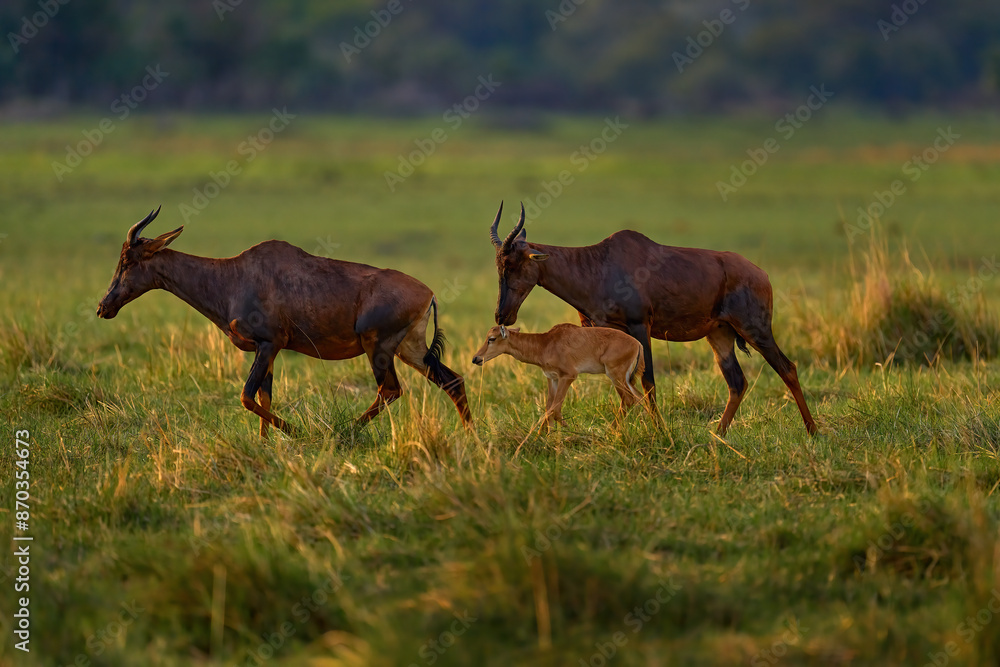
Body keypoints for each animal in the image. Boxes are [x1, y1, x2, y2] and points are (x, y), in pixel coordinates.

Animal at [97, 206, 473, 435]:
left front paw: (299, 433)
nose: (103, 307)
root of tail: (429, 294)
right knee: (452, 381)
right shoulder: (268, 351)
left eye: (128, 260)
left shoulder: (269, 344)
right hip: (410, 348)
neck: (234, 276)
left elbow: (246, 397)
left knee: (390, 389)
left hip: (377, 347)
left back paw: (342, 433)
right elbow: (264, 398)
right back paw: (471, 437)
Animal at [472, 323, 646, 426]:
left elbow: (555, 411)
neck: (546, 343)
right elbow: (549, 409)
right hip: (626, 379)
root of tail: (637, 343)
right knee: (641, 398)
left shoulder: (569, 376)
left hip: (615, 376)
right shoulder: (552, 378)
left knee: (628, 400)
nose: (476, 358)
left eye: (491, 338)